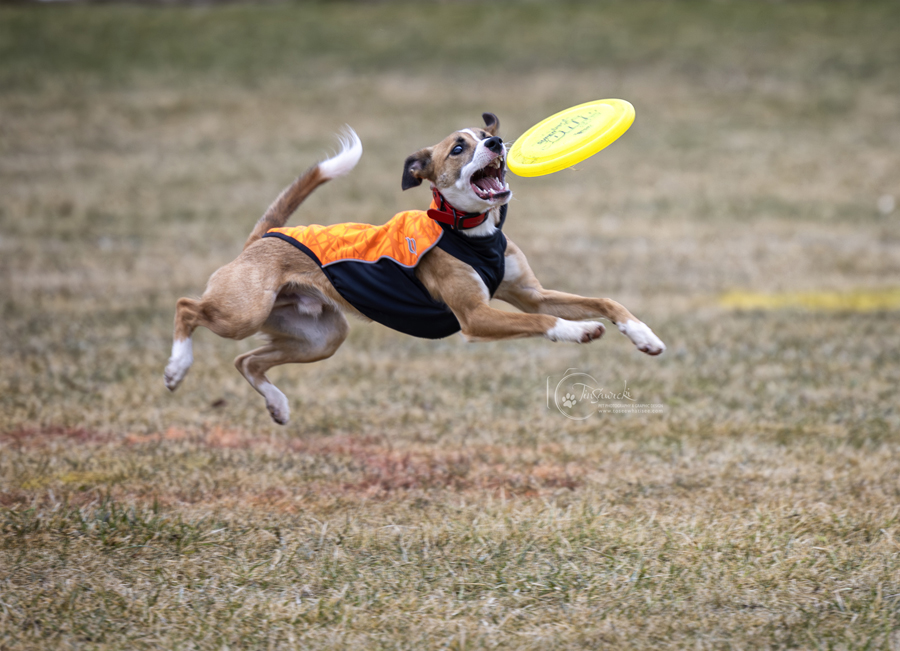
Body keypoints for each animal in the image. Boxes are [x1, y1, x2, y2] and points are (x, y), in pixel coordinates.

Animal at [164, 113, 665, 424]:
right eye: (459, 148)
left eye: (485, 135)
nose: (496, 142)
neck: (470, 233)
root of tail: (264, 237)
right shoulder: (476, 317)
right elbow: (543, 322)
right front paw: (578, 331)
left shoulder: (530, 294)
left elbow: (603, 300)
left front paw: (644, 336)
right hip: (242, 310)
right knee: (188, 307)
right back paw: (177, 367)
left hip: (320, 335)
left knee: (246, 359)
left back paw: (277, 405)